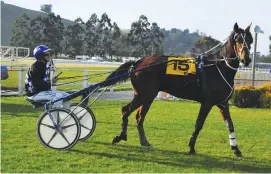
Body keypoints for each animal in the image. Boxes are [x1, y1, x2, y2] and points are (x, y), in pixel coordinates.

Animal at [104, 22, 255, 157]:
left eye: (250, 40)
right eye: (238, 39)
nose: (246, 59)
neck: (217, 66)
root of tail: (138, 62)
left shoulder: (222, 103)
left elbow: (230, 125)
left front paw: (236, 149)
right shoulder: (207, 103)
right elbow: (199, 124)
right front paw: (192, 147)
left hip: (147, 96)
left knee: (139, 117)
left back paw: (144, 142)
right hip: (144, 95)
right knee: (125, 110)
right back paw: (120, 136)